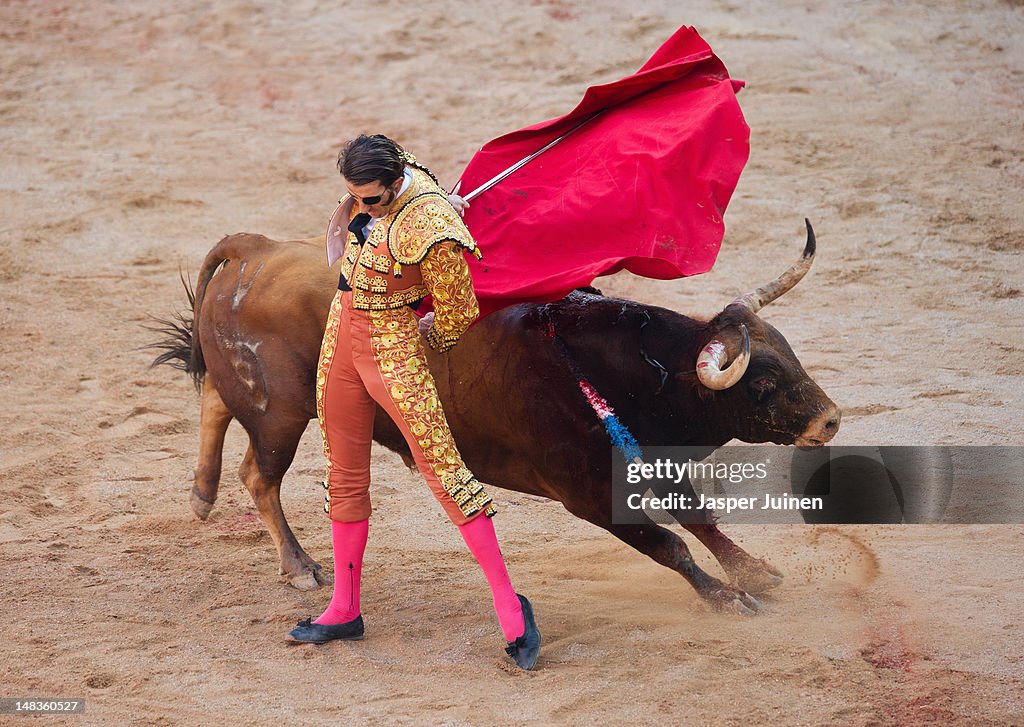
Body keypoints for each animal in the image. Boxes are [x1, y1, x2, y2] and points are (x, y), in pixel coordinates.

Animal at [151, 221, 839, 614]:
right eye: (763, 381)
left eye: (789, 352)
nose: (831, 420)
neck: (612, 370)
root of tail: (258, 249)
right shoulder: (588, 495)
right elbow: (668, 542)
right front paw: (729, 597)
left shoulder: (646, 461)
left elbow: (698, 518)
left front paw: (755, 572)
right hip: (284, 414)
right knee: (259, 475)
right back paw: (299, 567)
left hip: (267, 401)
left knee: (215, 400)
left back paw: (201, 495)